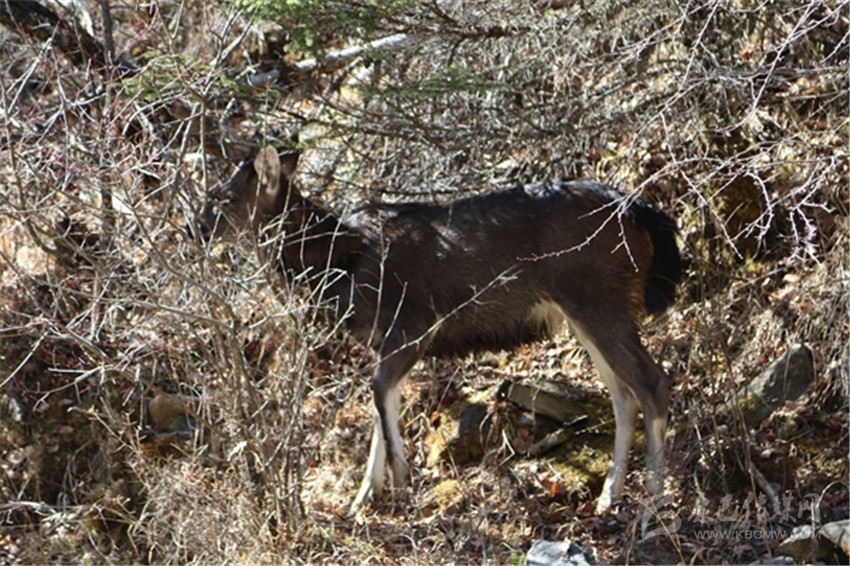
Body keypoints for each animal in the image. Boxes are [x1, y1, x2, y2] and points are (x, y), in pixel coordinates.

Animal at [196, 146, 682, 514]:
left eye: (224, 198)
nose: (194, 229)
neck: (337, 264)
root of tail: (641, 213)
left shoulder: (413, 325)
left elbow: (378, 395)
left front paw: (398, 482)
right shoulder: (384, 340)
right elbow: (380, 405)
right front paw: (362, 499)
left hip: (599, 299)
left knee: (651, 382)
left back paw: (651, 505)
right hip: (587, 310)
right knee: (622, 394)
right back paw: (609, 496)